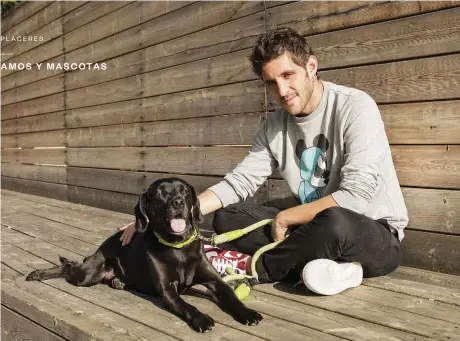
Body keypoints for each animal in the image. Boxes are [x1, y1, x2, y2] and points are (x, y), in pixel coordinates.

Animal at [26, 177, 262, 330]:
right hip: (86, 275)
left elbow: (231, 296)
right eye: (159, 193)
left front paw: (247, 313)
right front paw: (202, 319)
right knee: (69, 266)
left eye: (185, 191)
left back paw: (118, 282)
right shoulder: (167, 289)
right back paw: (37, 274)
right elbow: (187, 306)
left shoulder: (215, 281)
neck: (178, 248)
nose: (177, 202)